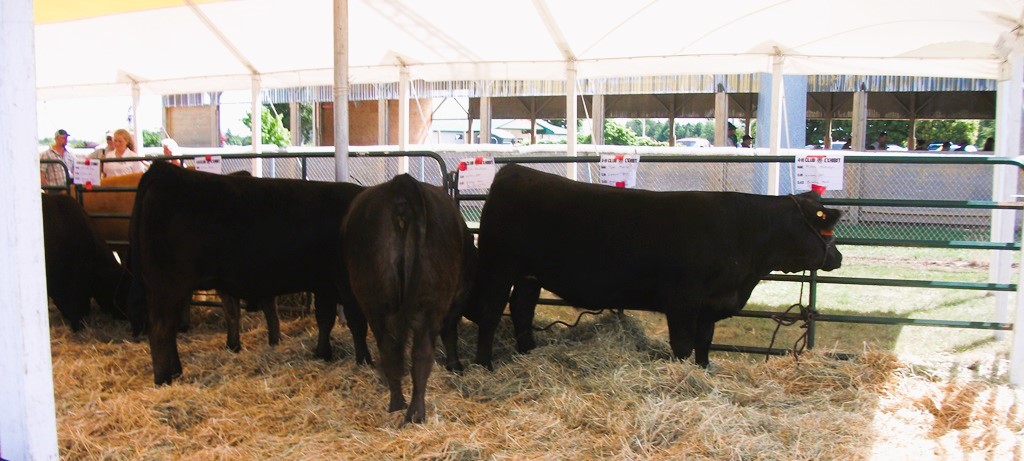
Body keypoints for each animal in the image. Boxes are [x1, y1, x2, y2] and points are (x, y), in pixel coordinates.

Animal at [129, 161, 369, 385]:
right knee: (160, 329)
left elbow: (325, 319)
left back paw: (176, 372)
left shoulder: (324, 285)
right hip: (168, 286)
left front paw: (323, 354)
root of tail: (165, 170)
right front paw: (364, 361)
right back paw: (164, 379)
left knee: (168, 329)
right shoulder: (346, 286)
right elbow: (357, 324)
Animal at [342, 174, 476, 424]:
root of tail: (402, 184)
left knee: (389, 349)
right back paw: (416, 413)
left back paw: (397, 403)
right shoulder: (456, 299)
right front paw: (455, 366)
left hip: (375, 301)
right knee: (422, 354)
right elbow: (450, 333)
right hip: (431, 303)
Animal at [472, 164, 843, 369]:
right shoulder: (683, 302)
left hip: (529, 275)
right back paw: (485, 365)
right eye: (826, 229)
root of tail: (512, 171)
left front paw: (704, 372)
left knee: (522, 309)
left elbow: (704, 344)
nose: (837, 257)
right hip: (498, 266)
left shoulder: (710, 306)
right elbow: (682, 346)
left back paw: (527, 353)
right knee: (490, 313)